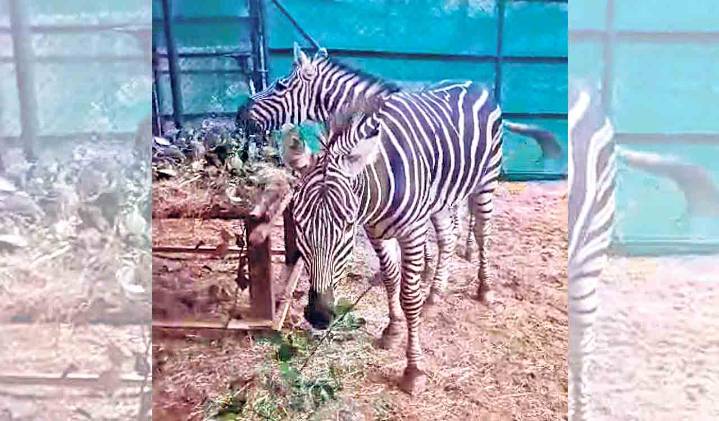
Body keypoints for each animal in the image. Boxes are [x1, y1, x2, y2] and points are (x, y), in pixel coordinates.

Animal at [239, 44, 561, 395]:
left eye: (281, 86)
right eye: (300, 225)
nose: (320, 315)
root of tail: (477, 84)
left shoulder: (412, 231)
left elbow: (409, 294)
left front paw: (413, 368)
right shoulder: (377, 231)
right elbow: (392, 279)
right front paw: (392, 329)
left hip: (484, 181)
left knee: (481, 232)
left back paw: (483, 287)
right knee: (449, 236)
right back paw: (437, 291)